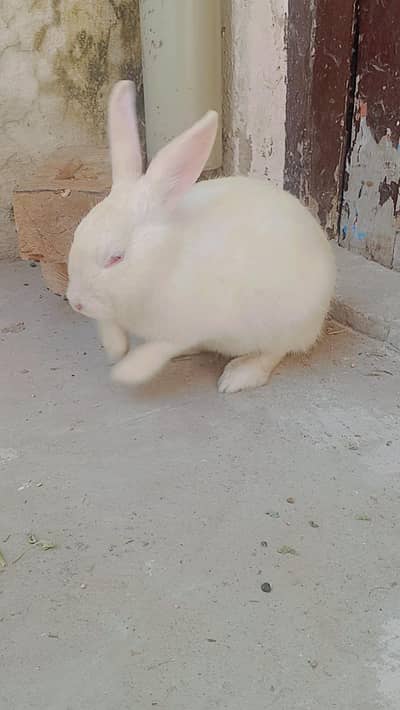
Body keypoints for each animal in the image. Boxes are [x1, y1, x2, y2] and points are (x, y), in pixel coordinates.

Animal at [67, 80, 336, 394]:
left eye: (116, 258)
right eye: (77, 234)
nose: (76, 302)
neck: (161, 264)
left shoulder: (185, 326)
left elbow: (160, 348)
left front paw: (127, 372)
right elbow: (110, 326)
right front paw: (115, 350)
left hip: (283, 324)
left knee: (273, 352)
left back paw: (238, 376)